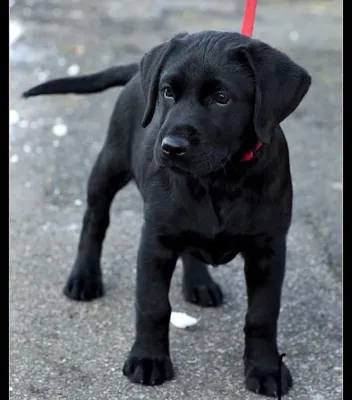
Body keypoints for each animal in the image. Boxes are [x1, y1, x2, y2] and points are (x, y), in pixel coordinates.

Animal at [23, 30, 310, 396]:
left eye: (221, 98)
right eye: (168, 92)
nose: (171, 147)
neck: (220, 179)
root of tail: (137, 72)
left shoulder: (268, 250)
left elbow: (262, 315)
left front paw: (266, 368)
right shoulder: (155, 243)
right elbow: (153, 306)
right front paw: (148, 360)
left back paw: (200, 283)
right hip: (109, 165)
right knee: (94, 221)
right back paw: (84, 277)